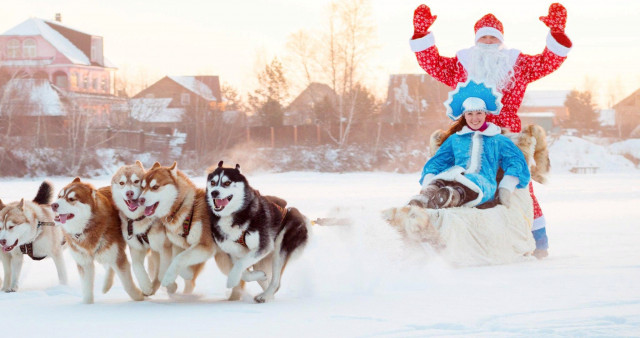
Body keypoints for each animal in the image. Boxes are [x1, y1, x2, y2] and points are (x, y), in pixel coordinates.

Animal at [110, 161, 171, 296]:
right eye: (122, 183)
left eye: (136, 181)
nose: (129, 193)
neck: (140, 219)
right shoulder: (136, 248)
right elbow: (136, 266)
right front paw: (146, 285)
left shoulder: (162, 247)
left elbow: (162, 269)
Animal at [206, 161, 308, 304]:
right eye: (213, 182)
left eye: (227, 183)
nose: (214, 192)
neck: (235, 215)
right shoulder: (232, 252)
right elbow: (241, 270)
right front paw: (258, 276)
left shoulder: (263, 246)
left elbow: (240, 265)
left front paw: (231, 280)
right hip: (262, 260)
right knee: (271, 281)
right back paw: (266, 292)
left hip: (280, 248)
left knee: (276, 281)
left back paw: (265, 295)